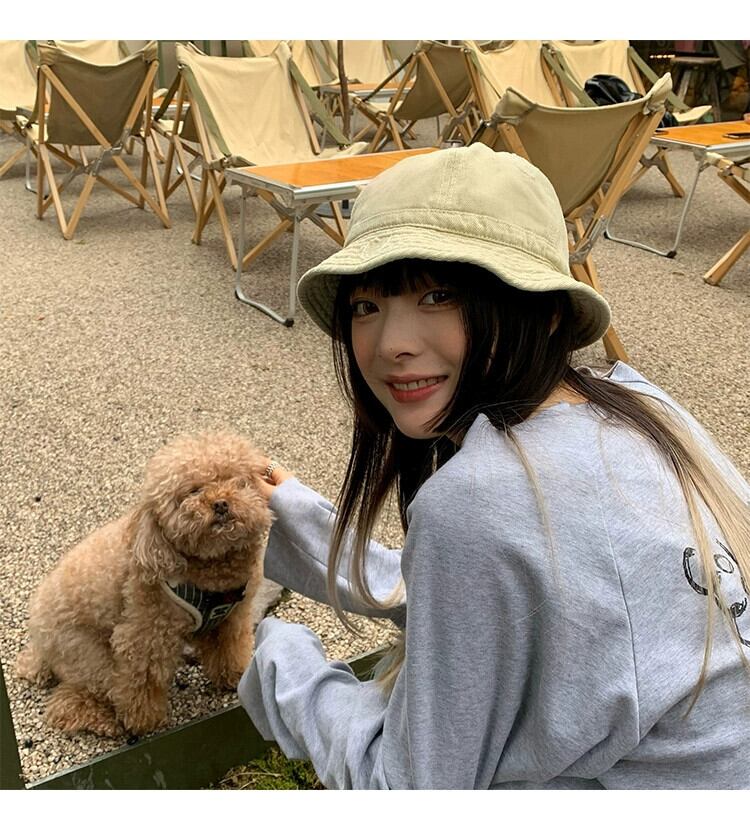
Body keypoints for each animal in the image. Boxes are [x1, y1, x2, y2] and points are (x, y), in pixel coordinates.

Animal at [15, 431, 273, 737]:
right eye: (193, 491)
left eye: (237, 481)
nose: (221, 503)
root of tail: (38, 641)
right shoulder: (144, 634)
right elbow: (142, 682)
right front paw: (144, 721)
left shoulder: (231, 619)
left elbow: (229, 650)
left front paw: (234, 677)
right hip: (88, 655)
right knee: (70, 701)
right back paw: (104, 721)